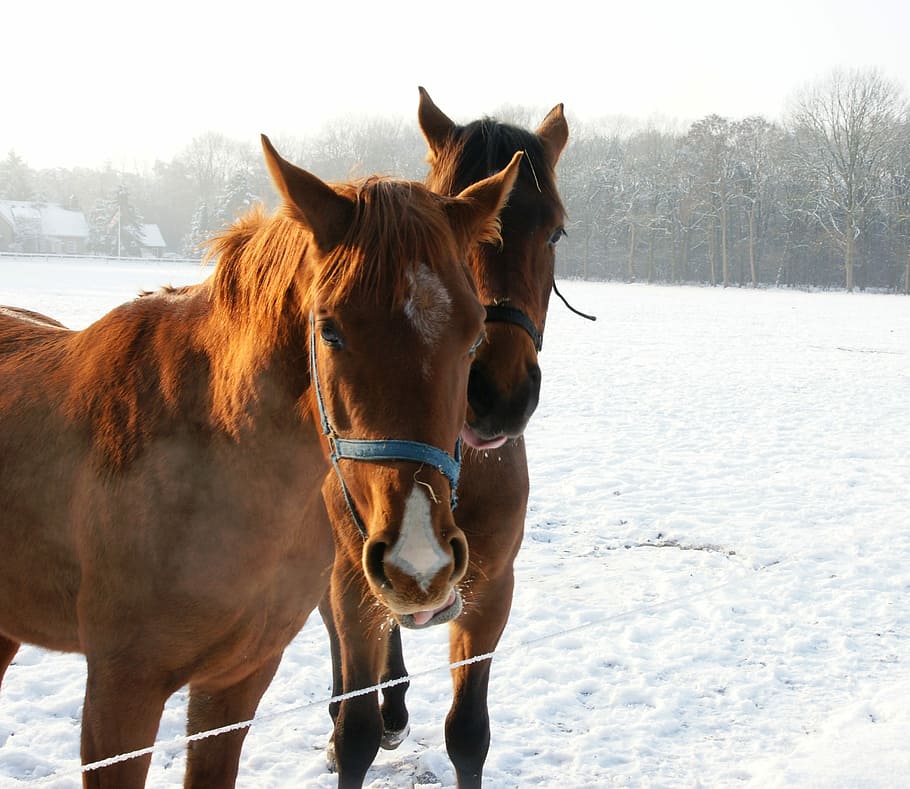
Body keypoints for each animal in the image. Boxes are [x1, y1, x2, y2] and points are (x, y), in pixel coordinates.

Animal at [319, 88, 570, 787]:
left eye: (554, 230)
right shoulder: (349, 578)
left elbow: (468, 733)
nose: (497, 392)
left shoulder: (491, 589)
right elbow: (356, 732)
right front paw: (351, 724)